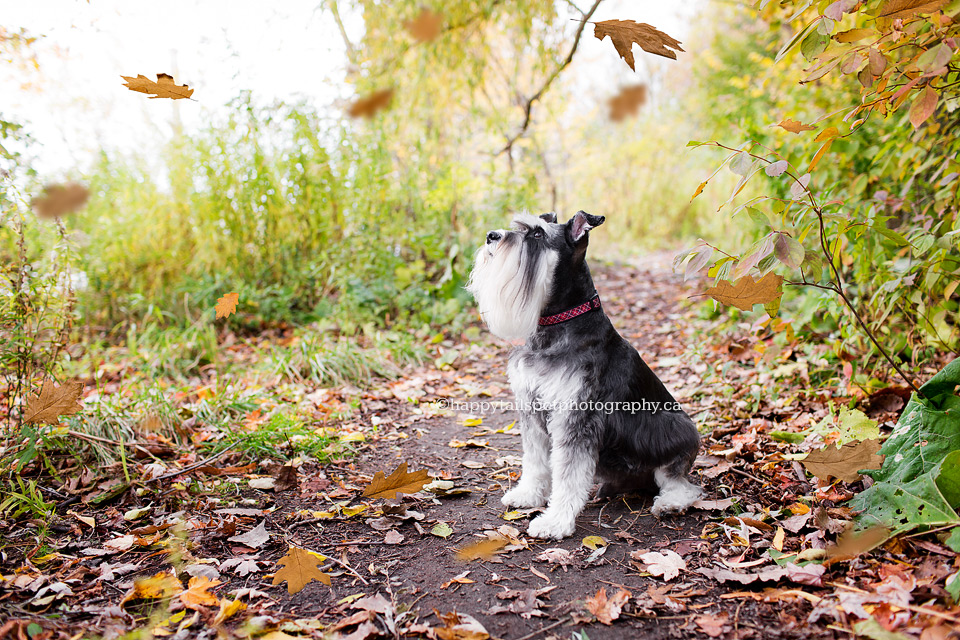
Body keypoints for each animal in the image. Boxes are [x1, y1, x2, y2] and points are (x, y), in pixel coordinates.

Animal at [466, 212, 700, 536]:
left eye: (537, 235)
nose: (492, 236)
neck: (558, 324)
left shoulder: (576, 416)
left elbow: (568, 473)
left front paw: (554, 521)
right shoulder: (532, 408)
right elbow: (536, 460)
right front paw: (528, 494)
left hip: (677, 428)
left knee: (682, 483)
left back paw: (670, 503)